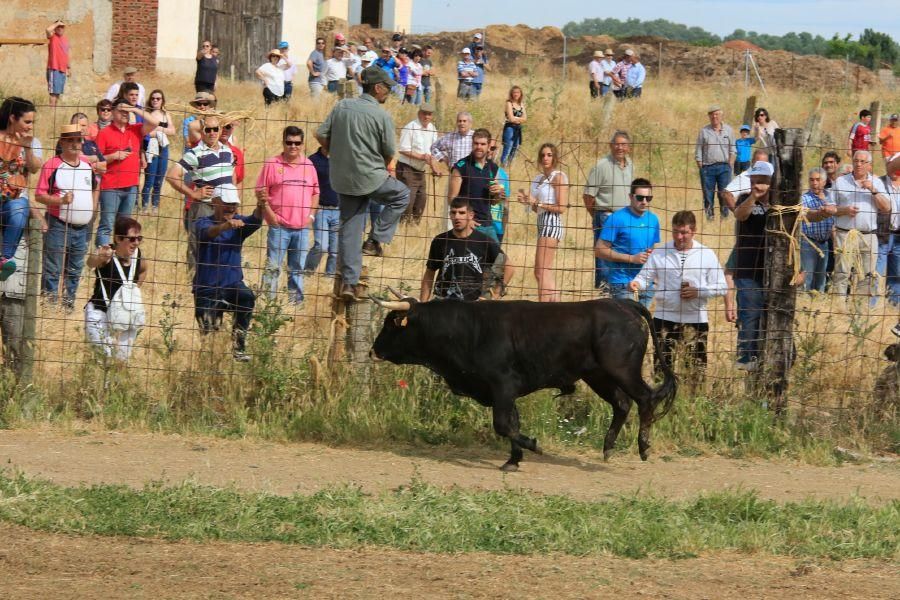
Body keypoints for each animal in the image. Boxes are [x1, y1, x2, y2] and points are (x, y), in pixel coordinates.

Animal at [370, 298, 676, 472]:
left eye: (391, 323)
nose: (373, 350)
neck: (467, 328)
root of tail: (622, 304)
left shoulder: (502, 385)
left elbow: (503, 426)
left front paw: (532, 447)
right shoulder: (506, 394)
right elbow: (512, 425)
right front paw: (514, 459)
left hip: (621, 370)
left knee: (645, 399)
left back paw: (643, 447)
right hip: (598, 375)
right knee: (622, 403)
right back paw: (608, 448)